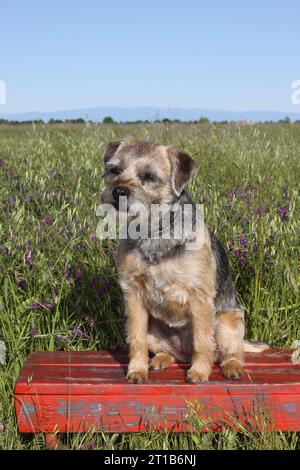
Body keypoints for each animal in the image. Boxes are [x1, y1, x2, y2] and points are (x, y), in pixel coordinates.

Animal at [101, 138, 268, 384]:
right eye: (115, 171)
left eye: (149, 176)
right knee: (170, 353)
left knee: (228, 351)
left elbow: (202, 341)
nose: (118, 191)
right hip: (154, 330)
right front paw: (137, 370)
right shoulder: (133, 297)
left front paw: (199, 372)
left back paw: (231, 366)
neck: (153, 233)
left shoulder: (199, 297)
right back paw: (160, 359)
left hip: (227, 323)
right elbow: (136, 340)